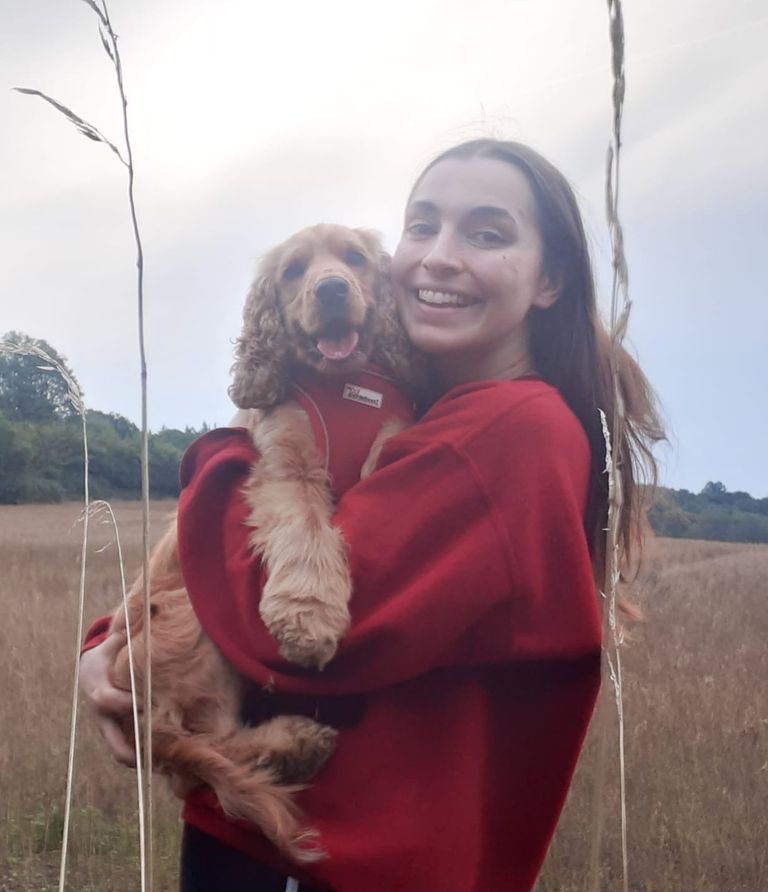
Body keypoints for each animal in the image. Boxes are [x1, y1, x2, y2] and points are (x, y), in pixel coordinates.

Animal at [108, 223, 420, 864]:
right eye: (294, 271)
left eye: (354, 259)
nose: (331, 290)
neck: (343, 385)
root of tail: (138, 724)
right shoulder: (283, 467)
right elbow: (306, 529)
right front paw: (308, 620)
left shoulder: (392, 434)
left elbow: (379, 462)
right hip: (191, 621)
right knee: (204, 750)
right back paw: (298, 740)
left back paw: (296, 743)